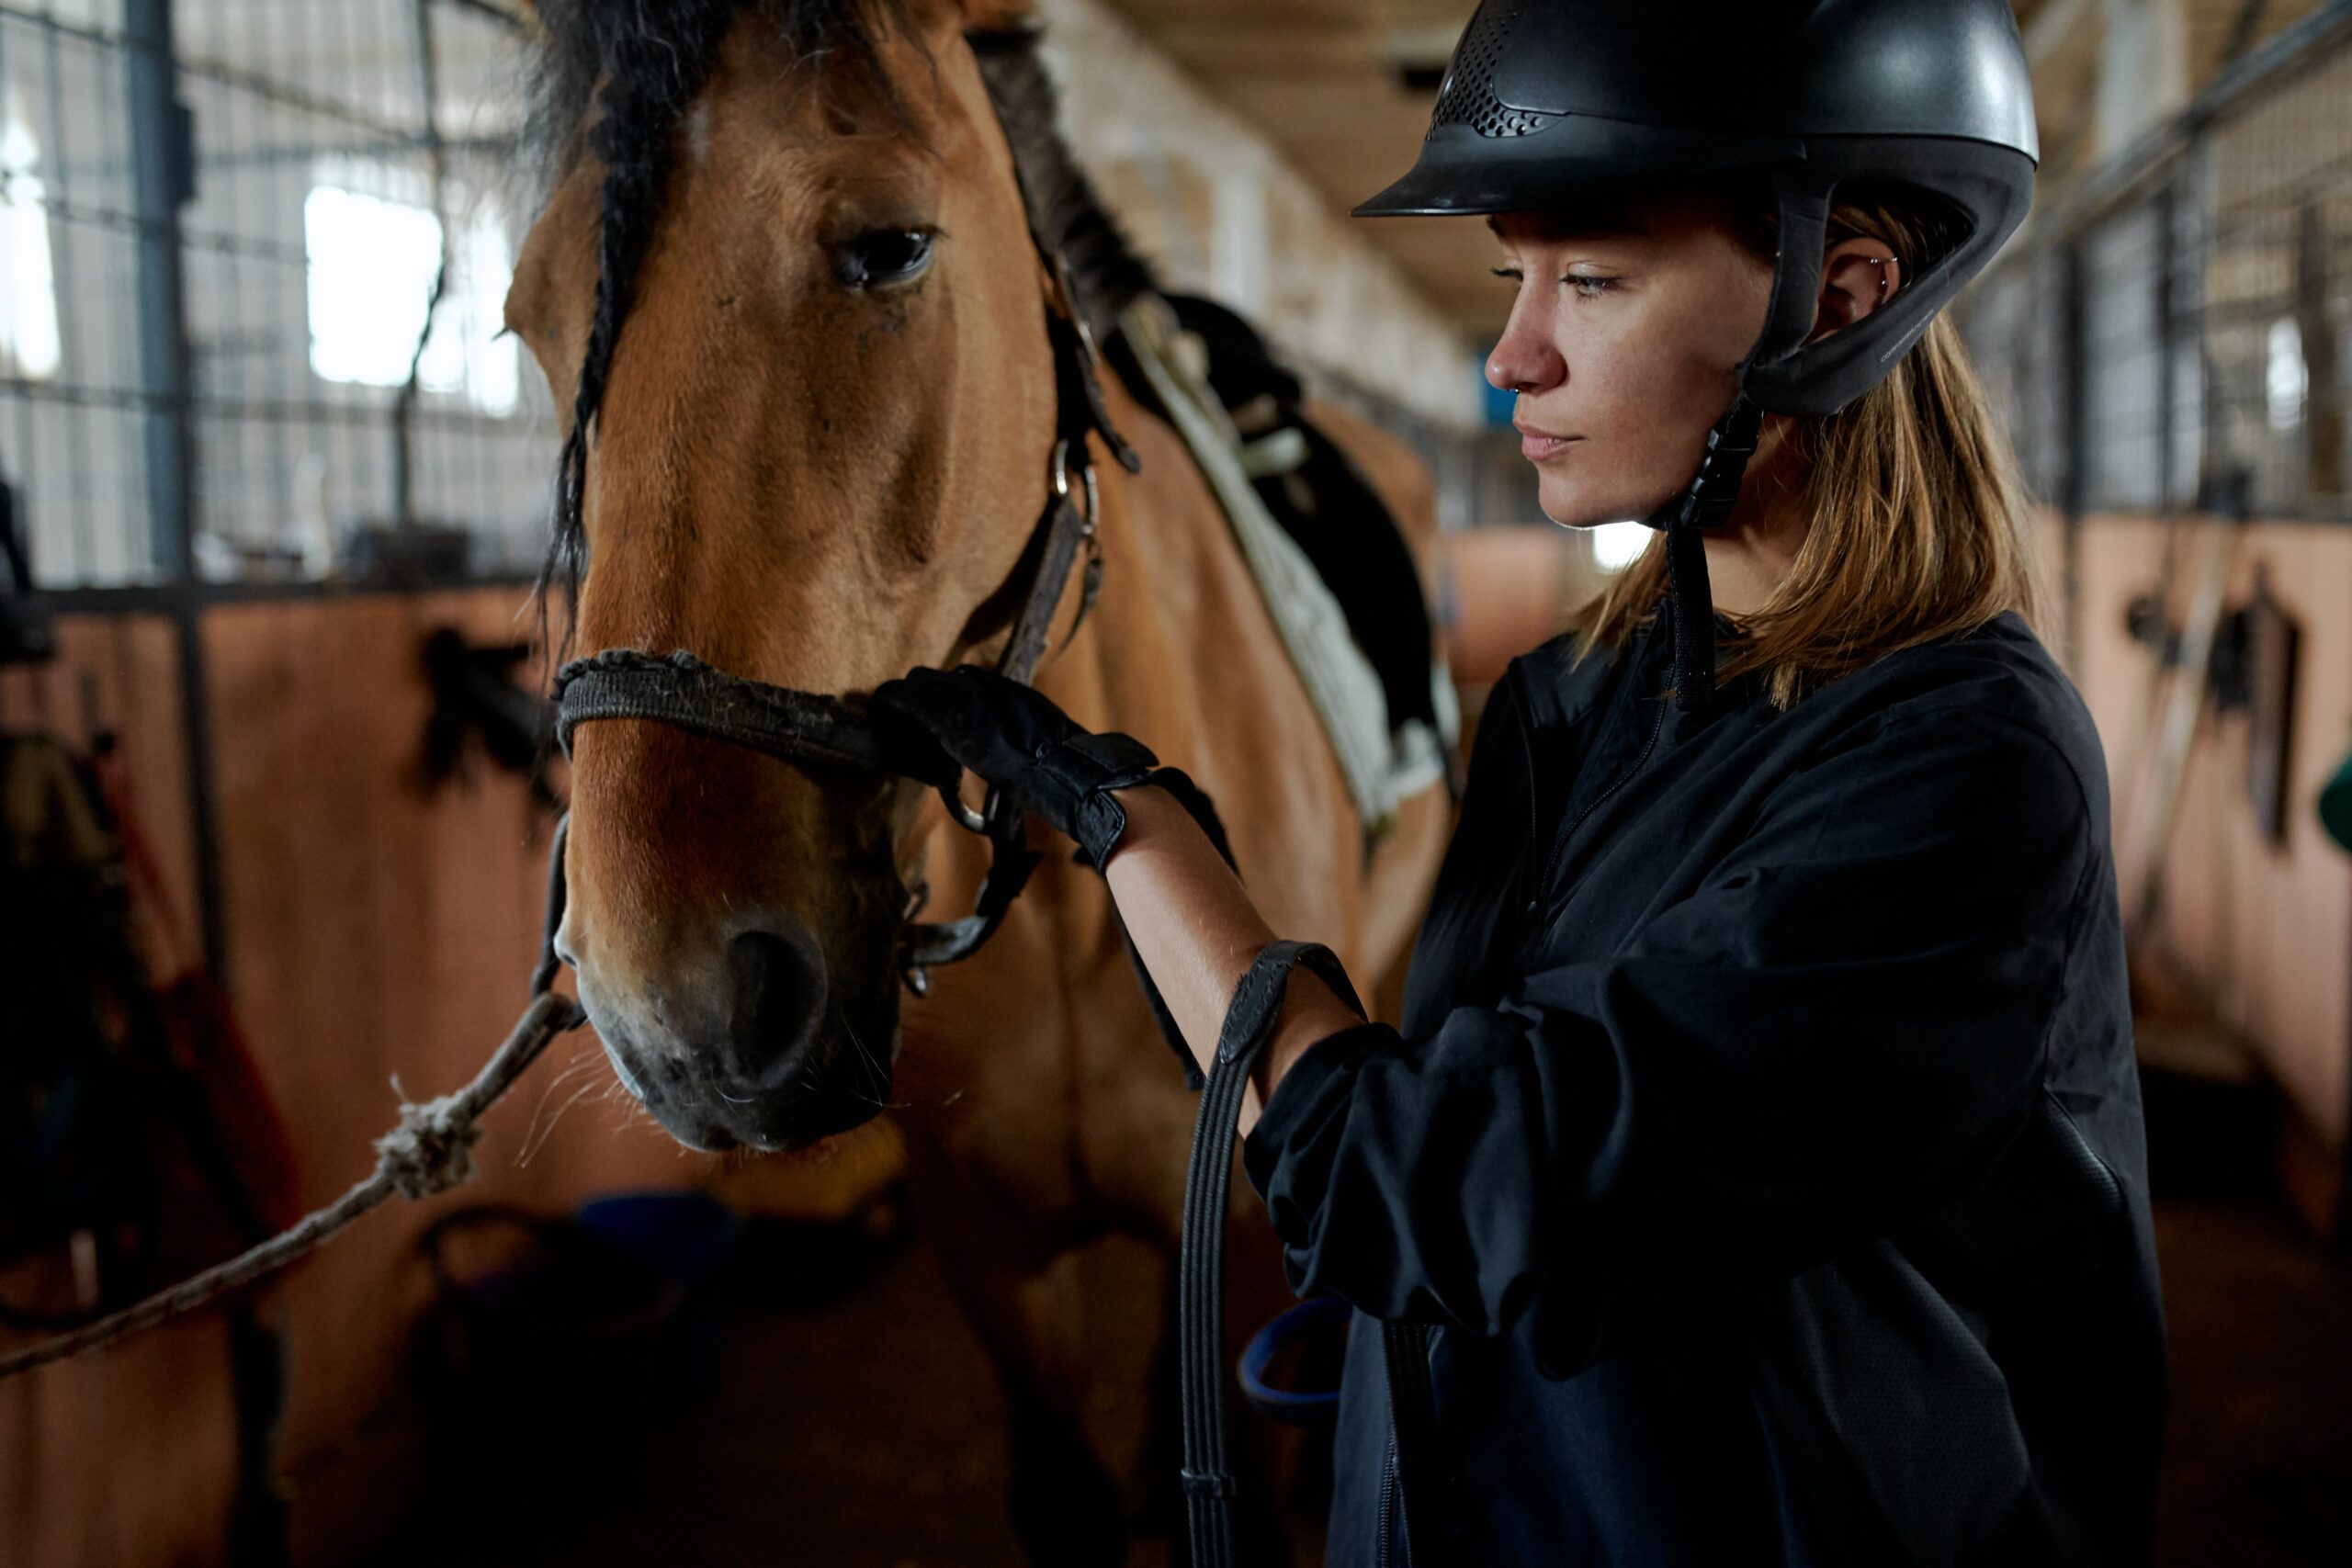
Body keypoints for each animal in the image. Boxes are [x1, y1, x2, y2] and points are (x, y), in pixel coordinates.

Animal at [505, 0, 1439, 1561]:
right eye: (528, 316)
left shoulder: (1246, 1247)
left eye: (891, 245)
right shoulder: (994, 1259)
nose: (677, 1010)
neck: (1081, 894)